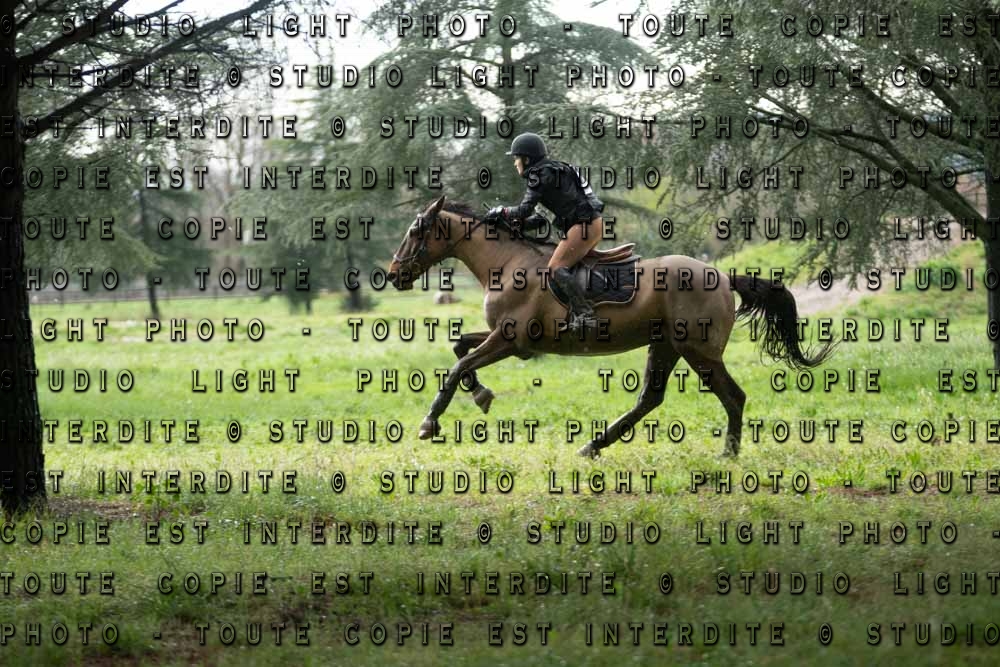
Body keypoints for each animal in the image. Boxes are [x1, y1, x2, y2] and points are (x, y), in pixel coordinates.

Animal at [386, 195, 834, 458]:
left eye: (414, 231)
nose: (393, 275)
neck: (508, 264)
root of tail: (722, 276)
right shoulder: (508, 341)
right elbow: (460, 348)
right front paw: (480, 395)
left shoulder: (510, 341)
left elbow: (459, 364)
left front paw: (429, 423)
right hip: (666, 346)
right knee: (650, 399)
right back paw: (592, 446)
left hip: (699, 351)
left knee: (733, 397)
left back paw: (728, 455)